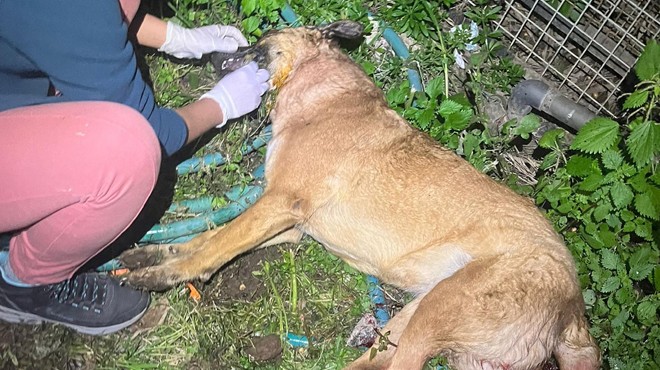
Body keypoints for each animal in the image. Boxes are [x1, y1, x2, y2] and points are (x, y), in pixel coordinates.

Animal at [117, 21, 600, 370]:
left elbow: (216, 245)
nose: (213, 53)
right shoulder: (291, 224)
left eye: (261, 41)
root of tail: (574, 308)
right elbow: (210, 236)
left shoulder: (282, 202)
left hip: (436, 312)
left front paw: (167, 273)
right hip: (415, 318)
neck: (321, 90)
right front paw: (157, 254)